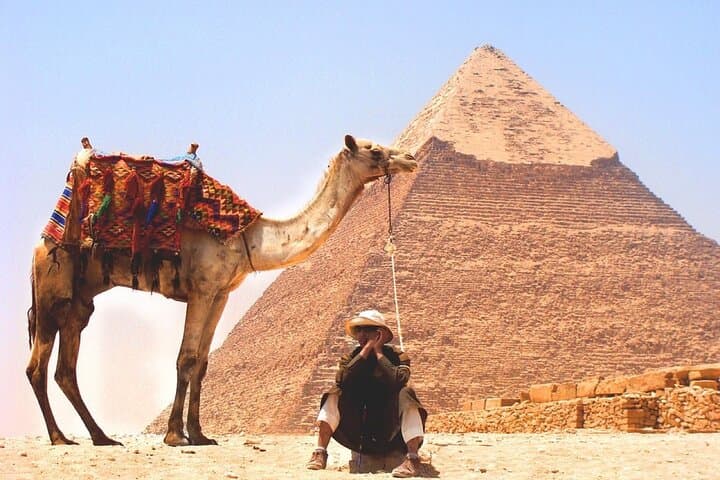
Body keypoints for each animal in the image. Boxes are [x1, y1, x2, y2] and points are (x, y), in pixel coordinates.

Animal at [26, 135, 417, 446]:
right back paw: (60, 438)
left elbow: (202, 362)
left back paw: (101, 437)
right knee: (37, 367)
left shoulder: (221, 294)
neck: (248, 237)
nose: (410, 158)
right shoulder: (201, 289)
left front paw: (200, 434)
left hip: (78, 303)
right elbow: (185, 358)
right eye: (375, 150)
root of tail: (42, 242)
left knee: (65, 370)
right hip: (51, 291)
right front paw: (175, 436)